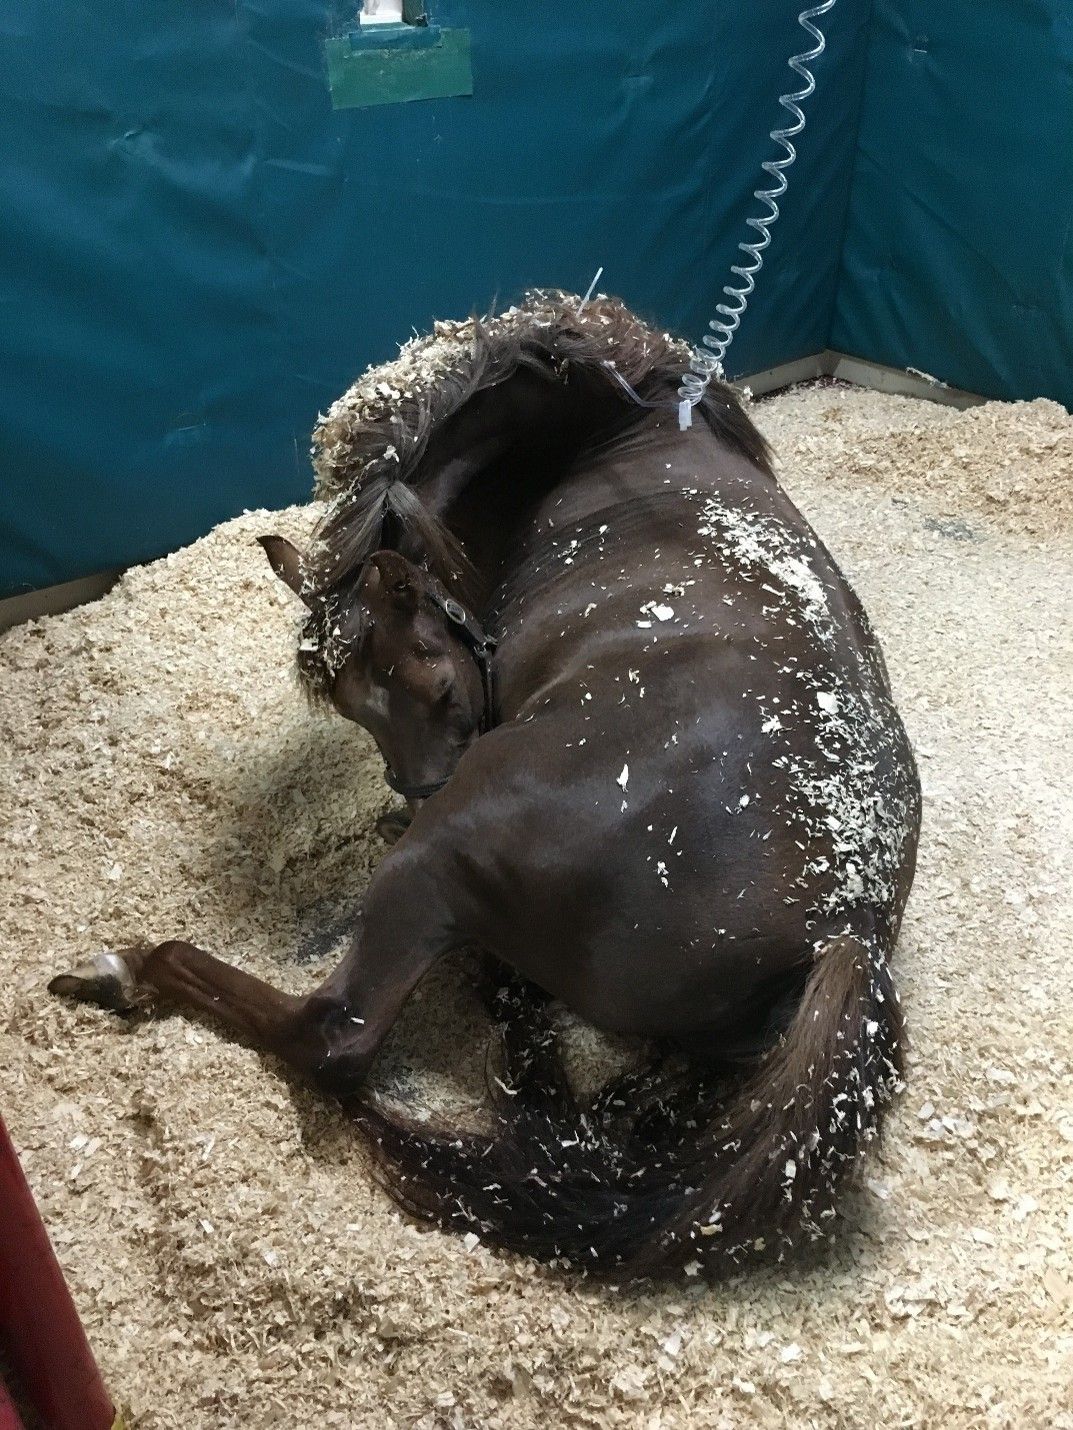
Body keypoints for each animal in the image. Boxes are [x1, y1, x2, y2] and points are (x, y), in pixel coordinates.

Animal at [50, 292, 921, 1280]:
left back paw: (125, 970)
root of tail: (842, 933)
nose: (417, 792)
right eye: (350, 709)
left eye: (433, 686)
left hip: (427, 873)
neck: (616, 431)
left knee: (333, 1035)